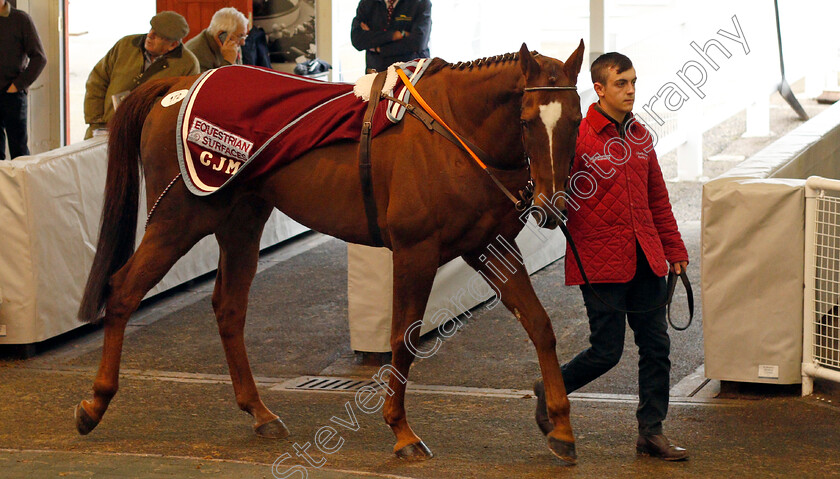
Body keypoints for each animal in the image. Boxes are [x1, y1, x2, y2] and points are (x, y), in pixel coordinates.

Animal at [75, 43, 588, 464]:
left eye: (576, 120)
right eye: (527, 120)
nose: (551, 206)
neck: (452, 129)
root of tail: (177, 87)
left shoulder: (487, 248)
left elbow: (540, 326)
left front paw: (560, 426)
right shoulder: (415, 252)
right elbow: (403, 337)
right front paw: (401, 432)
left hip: (241, 222)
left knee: (229, 307)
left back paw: (259, 412)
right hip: (177, 220)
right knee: (123, 291)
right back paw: (95, 403)